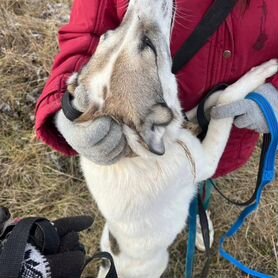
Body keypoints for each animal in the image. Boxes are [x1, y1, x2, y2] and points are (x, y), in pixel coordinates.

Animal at [55, 1, 276, 276]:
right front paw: (262, 72)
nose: (133, 2)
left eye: (106, 34)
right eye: (148, 46)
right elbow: (226, 103)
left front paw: (206, 103)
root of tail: (110, 264)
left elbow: (198, 108)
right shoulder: (203, 161)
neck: (133, 152)